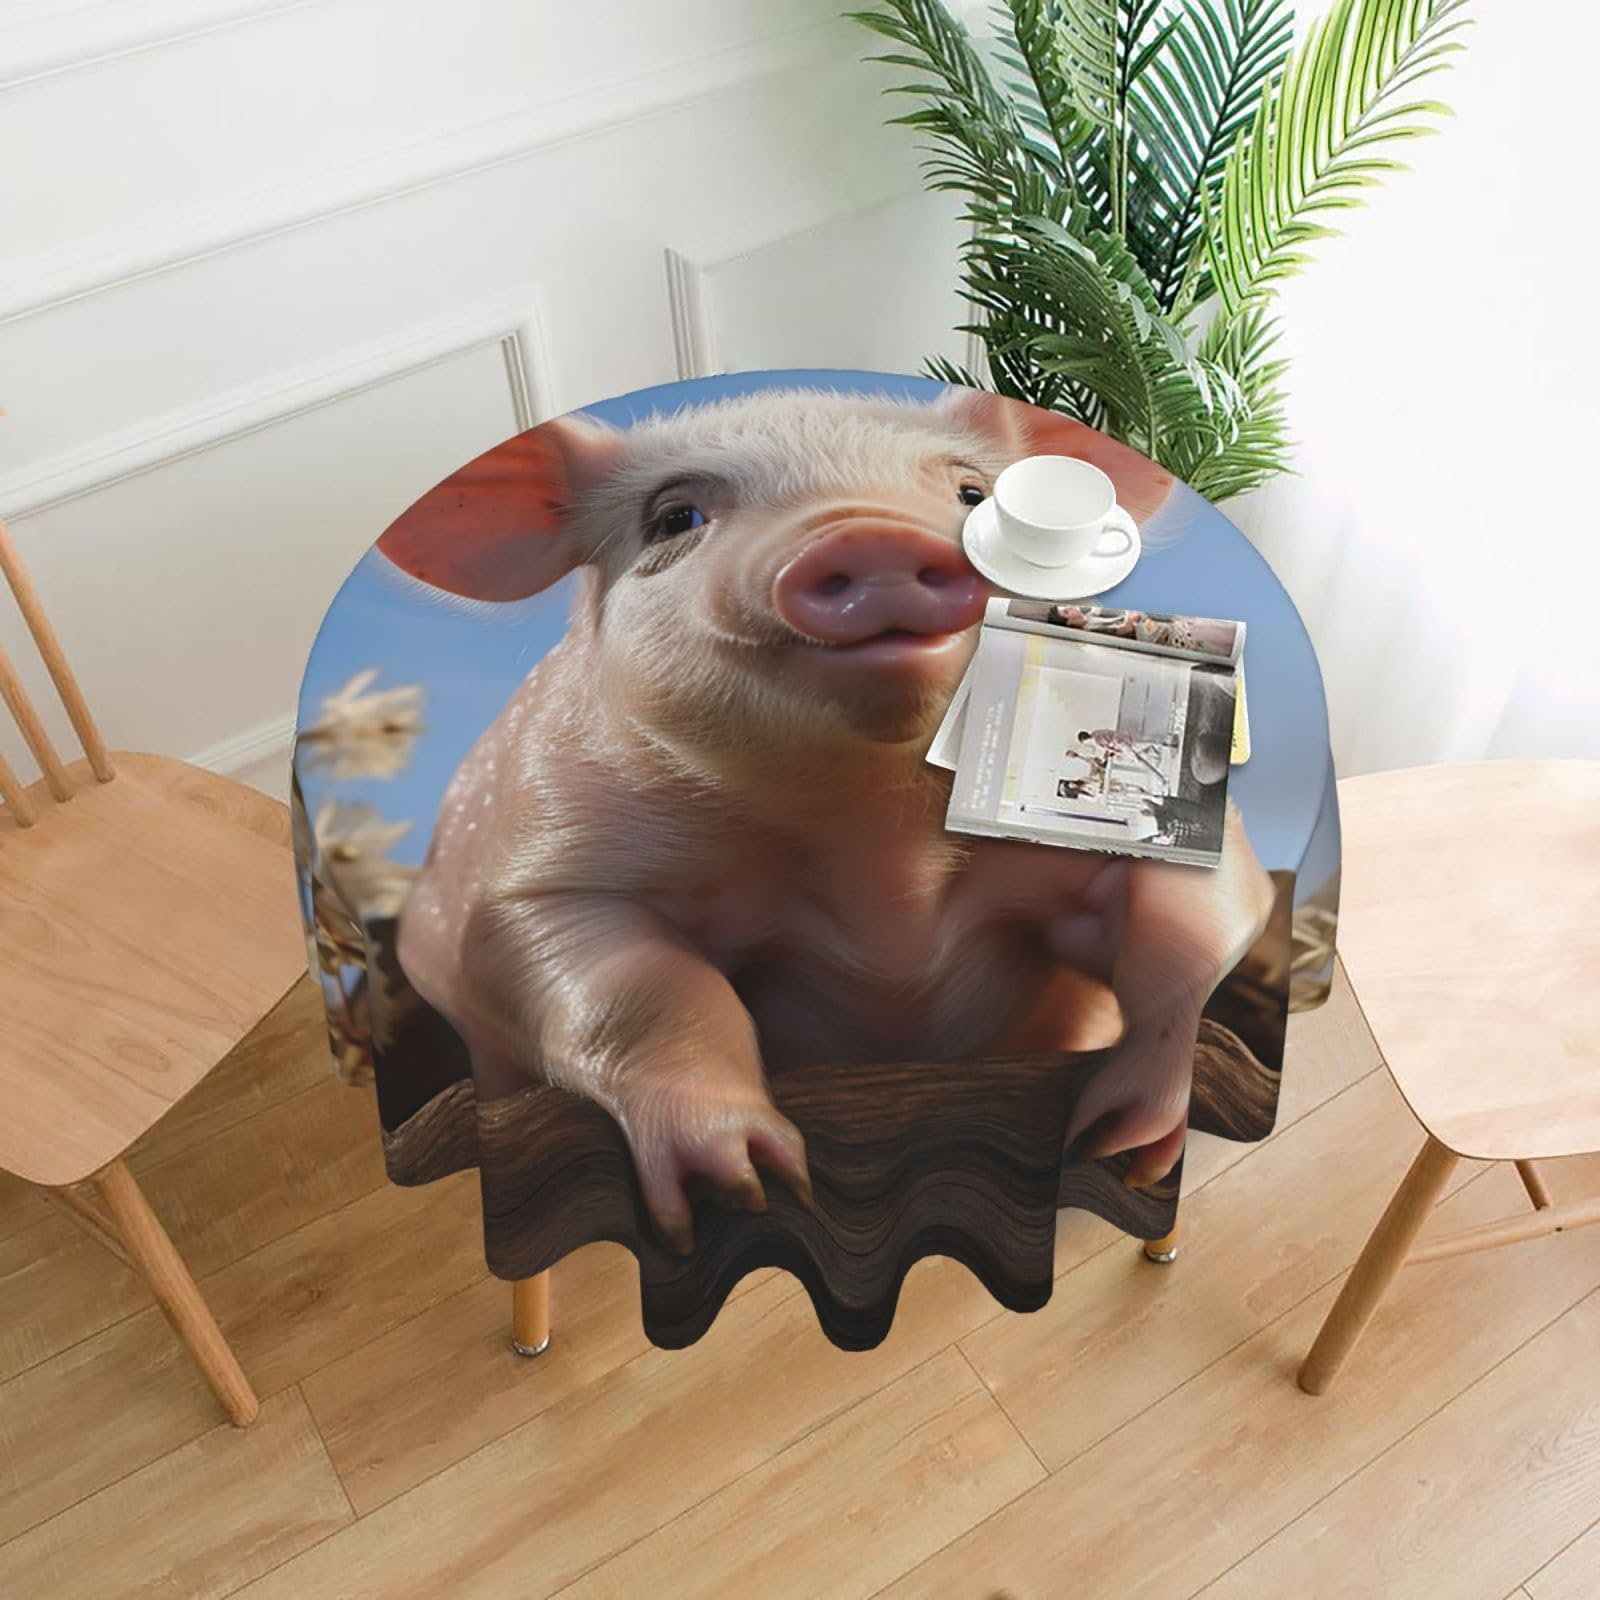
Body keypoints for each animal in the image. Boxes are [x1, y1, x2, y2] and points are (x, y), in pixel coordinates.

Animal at [384, 387, 1274, 1253]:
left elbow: (1194, 931)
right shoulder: (545, 869)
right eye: (674, 518)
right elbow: (635, 989)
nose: (871, 531)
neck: (877, 854)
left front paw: (1118, 1145)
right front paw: (747, 1183)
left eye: (971, 494)